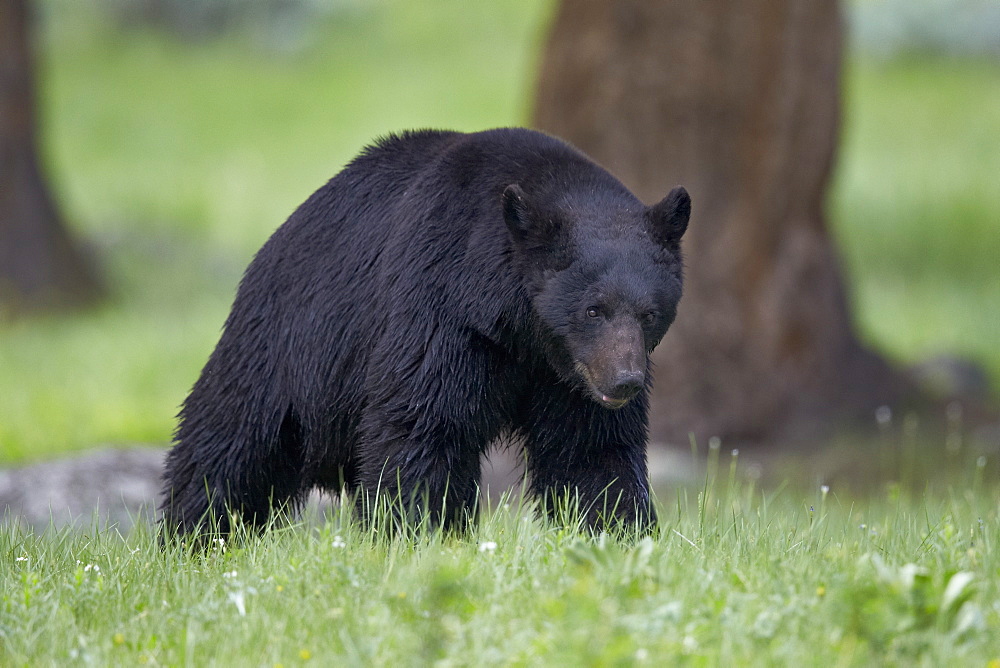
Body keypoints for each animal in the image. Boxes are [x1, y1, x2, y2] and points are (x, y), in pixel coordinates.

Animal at [160, 126, 692, 536]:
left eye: (650, 312)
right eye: (592, 310)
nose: (624, 381)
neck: (520, 330)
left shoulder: (567, 377)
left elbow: (590, 449)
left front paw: (617, 532)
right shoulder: (443, 306)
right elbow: (423, 422)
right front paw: (416, 532)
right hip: (288, 343)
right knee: (232, 444)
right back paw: (194, 535)